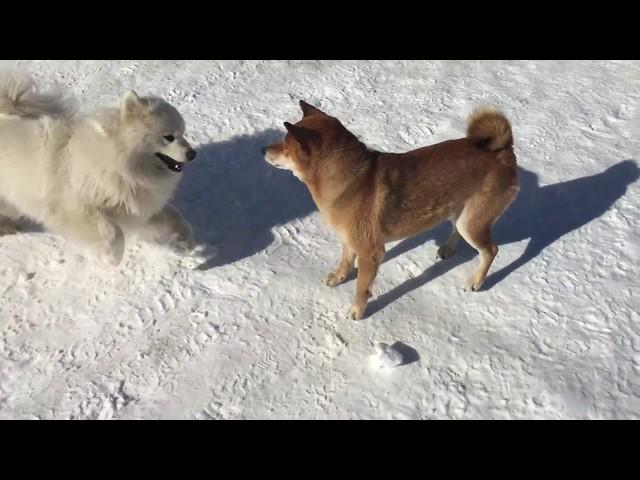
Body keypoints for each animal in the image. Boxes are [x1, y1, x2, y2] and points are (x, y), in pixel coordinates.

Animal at [262, 101, 516, 318]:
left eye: (285, 146)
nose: (263, 149)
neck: (350, 178)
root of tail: (503, 150)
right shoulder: (349, 240)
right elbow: (345, 261)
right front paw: (338, 277)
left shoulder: (371, 253)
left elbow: (361, 287)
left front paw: (357, 311)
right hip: (461, 214)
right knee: (458, 231)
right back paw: (448, 249)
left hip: (473, 223)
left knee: (490, 251)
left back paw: (476, 281)